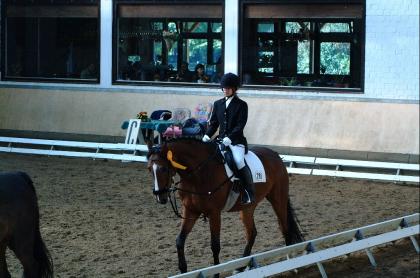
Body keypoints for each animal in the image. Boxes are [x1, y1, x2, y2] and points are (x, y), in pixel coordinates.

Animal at [146, 137, 304, 274]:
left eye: (163, 169)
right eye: (149, 169)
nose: (160, 196)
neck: (198, 174)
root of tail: (276, 155)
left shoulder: (214, 213)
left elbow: (215, 246)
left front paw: (215, 272)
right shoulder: (191, 211)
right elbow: (179, 240)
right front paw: (183, 270)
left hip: (278, 199)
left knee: (285, 228)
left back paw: (290, 262)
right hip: (247, 207)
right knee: (252, 233)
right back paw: (241, 267)